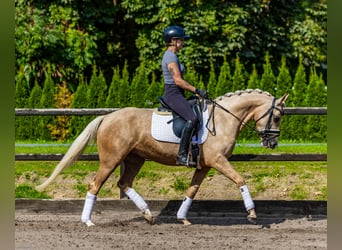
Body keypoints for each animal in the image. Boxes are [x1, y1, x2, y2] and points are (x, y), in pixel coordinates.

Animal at [36, 89, 288, 227]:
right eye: (276, 117)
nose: (272, 143)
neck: (223, 120)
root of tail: (107, 117)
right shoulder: (218, 161)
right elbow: (240, 180)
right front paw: (252, 214)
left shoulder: (205, 166)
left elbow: (192, 190)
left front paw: (182, 218)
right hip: (111, 160)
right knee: (95, 185)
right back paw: (87, 221)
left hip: (135, 159)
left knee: (124, 183)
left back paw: (148, 214)